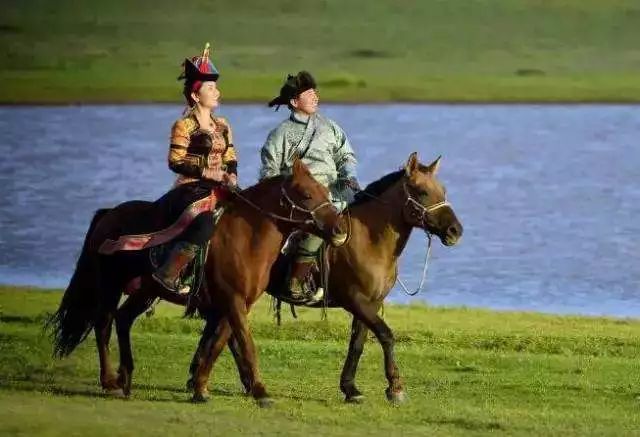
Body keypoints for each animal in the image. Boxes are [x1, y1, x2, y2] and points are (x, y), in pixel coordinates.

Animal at [45, 159, 348, 398]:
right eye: (306, 194)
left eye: (324, 191)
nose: (339, 230)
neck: (247, 238)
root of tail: (109, 214)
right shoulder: (233, 300)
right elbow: (245, 342)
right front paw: (260, 391)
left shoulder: (236, 304)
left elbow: (218, 343)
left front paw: (201, 387)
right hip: (110, 284)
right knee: (104, 324)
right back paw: (110, 381)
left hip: (146, 291)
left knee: (123, 319)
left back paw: (126, 377)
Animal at [192, 152, 462, 404]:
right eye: (422, 192)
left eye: (443, 191)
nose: (455, 231)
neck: (369, 240)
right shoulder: (356, 300)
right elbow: (386, 335)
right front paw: (395, 387)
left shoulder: (370, 304)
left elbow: (357, 343)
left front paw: (350, 388)